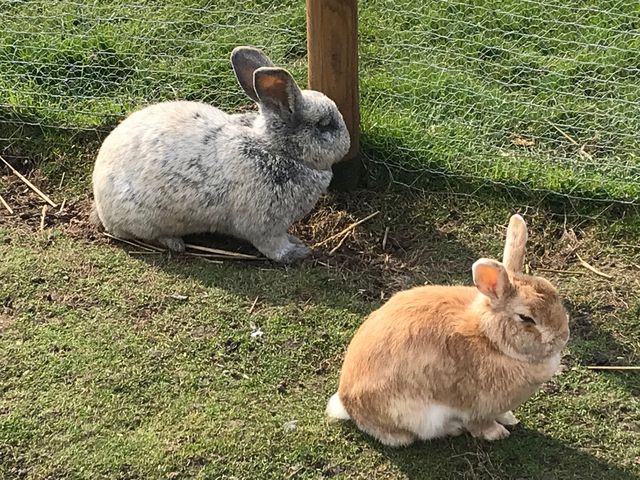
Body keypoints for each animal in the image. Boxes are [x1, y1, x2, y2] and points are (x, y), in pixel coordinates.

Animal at [90, 46, 350, 262]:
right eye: (324, 125)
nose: (347, 143)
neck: (275, 148)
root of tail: (100, 202)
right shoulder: (266, 227)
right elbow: (274, 247)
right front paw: (298, 252)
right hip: (145, 221)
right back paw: (175, 243)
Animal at [328, 216, 568, 444]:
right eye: (526, 318)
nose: (562, 338)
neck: (489, 339)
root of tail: (348, 404)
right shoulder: (477, 407)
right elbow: (480, 423)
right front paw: (497, 433)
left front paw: (510, 418)